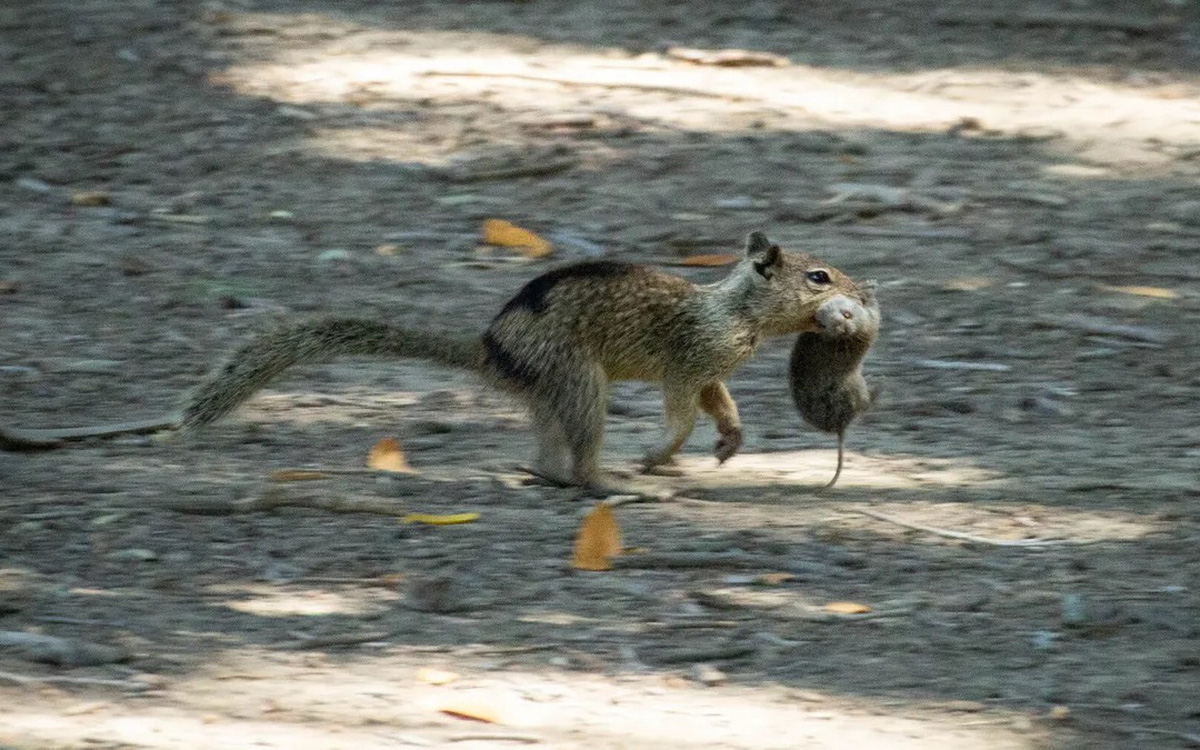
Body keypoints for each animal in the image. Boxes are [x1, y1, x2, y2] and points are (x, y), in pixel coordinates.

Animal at [0, 231, 864, 494]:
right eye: (819, 276)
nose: (863, 290)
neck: (736, 312)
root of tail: (491, 349)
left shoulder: (714, 368)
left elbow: (722, 404)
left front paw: (729, 442)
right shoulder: (688, 363)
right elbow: (684, 407)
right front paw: (664, 453)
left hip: (555, 391)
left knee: (545, 452)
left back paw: (551, 474)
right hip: (579, 382)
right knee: (580, 457)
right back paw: (616, 483)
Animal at [787, 279, 883, 484]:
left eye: (847, 314)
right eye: (822, 324)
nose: (842, 328)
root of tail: (840, 426)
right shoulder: (871, 322)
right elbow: (874, 308)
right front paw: (869, 288)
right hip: (856, 390)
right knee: (866, 404)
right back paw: (878, 384)